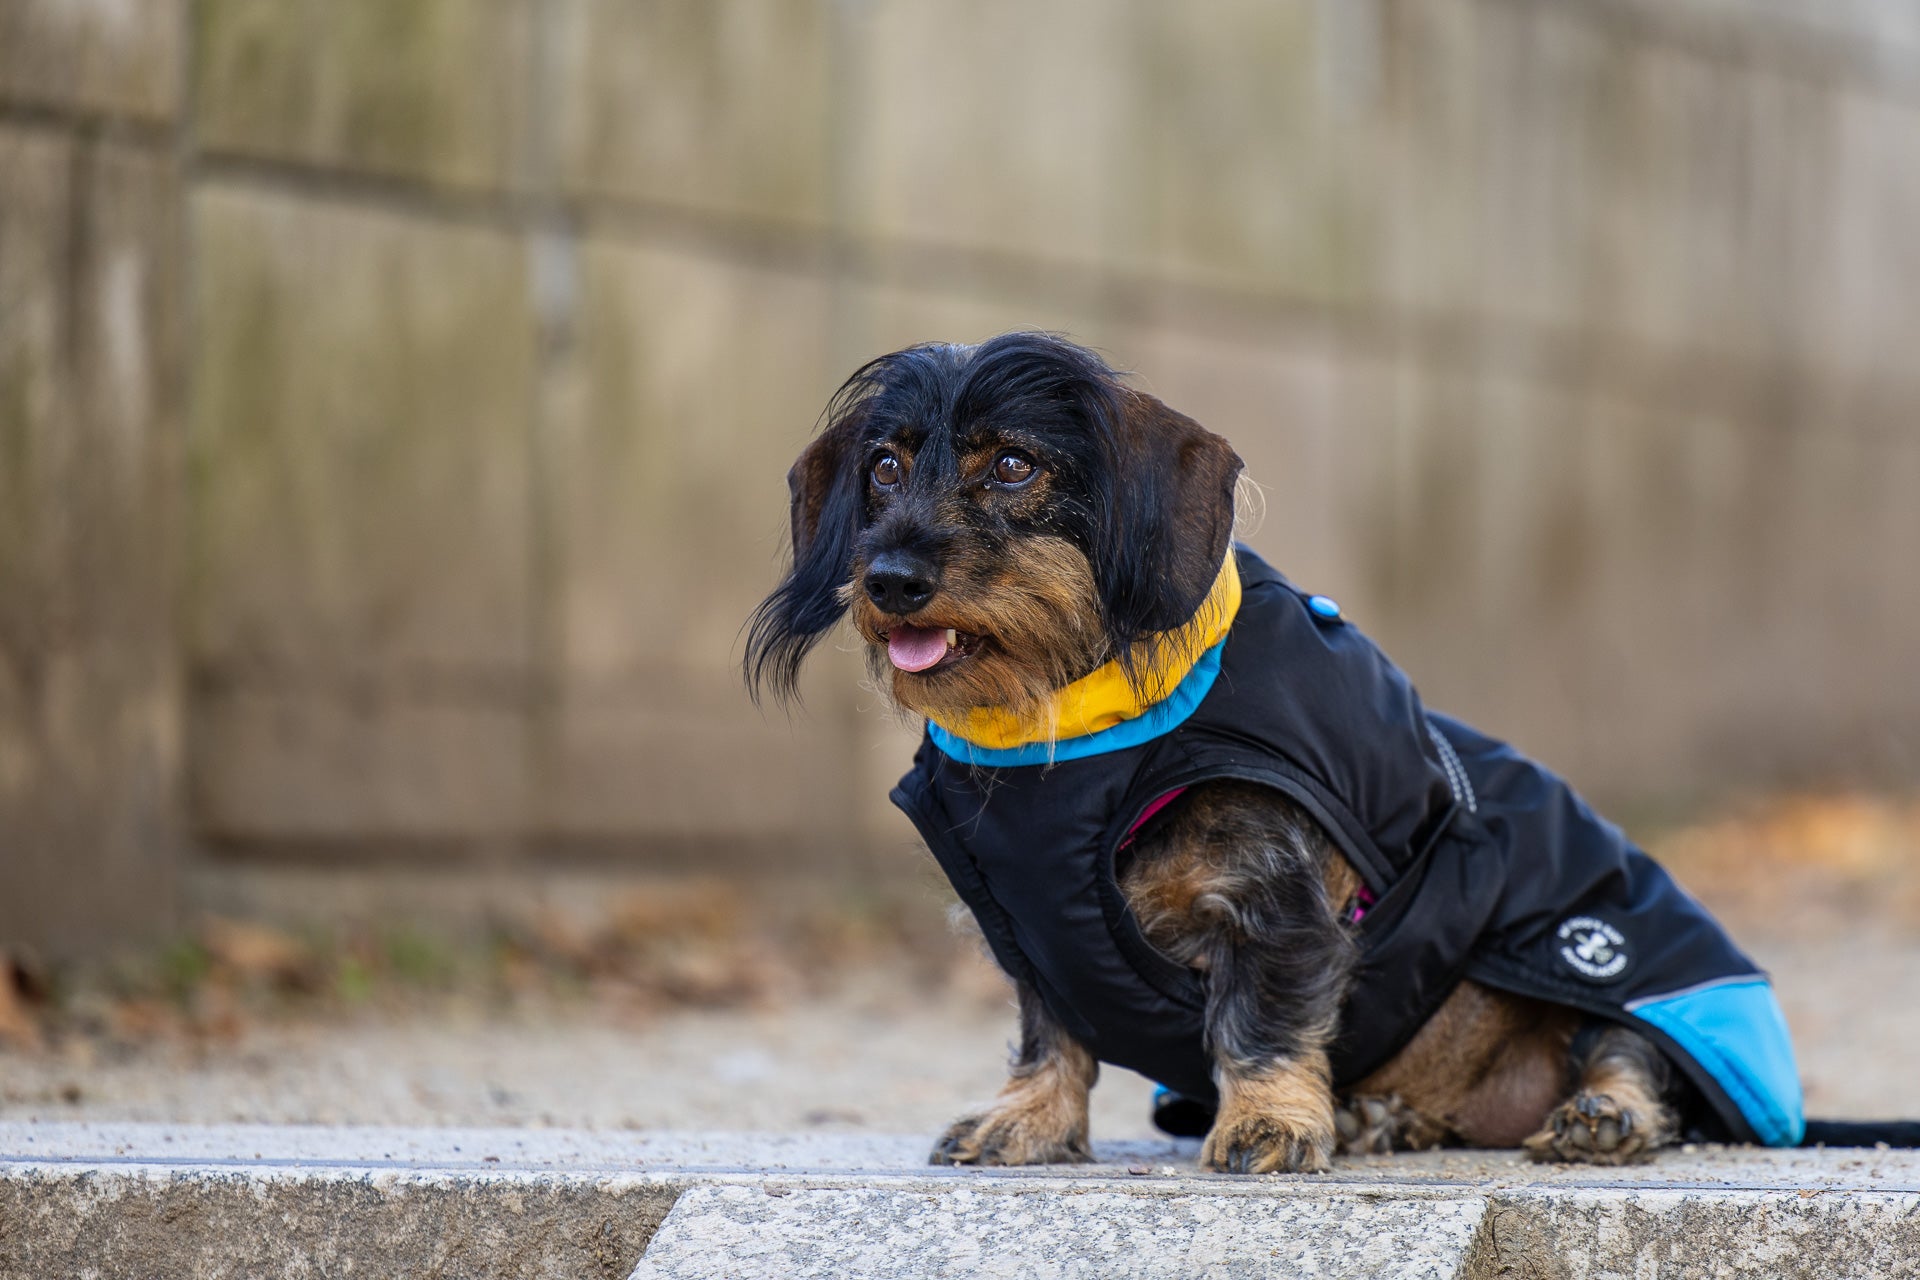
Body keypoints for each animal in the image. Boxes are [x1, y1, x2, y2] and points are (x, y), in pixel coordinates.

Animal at [748, 330, 1843, 1174]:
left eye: (1013, 464)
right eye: (884, 467)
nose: (888, 579)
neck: (1076, 734)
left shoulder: (1274, 903)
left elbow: (1261, 1023)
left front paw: (1269, 1122)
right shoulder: (1032, 931)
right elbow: (1049, 1036)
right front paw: (1026, 1122)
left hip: (1616, 964)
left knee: (1627, 1053)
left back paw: (1600, 1116)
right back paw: (1381, 1116)